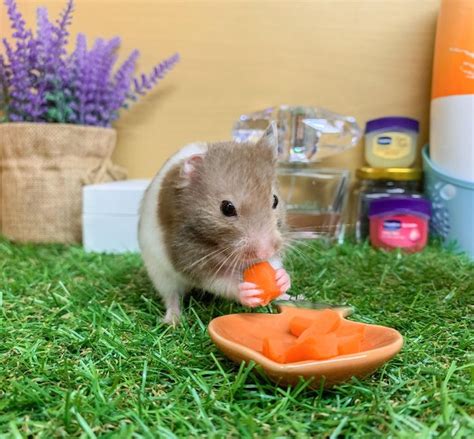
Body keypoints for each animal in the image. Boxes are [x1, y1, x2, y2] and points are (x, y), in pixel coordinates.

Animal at [137, 124, 290, 324]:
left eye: (275, 200)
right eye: (227, 208)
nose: (264, 252)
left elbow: (274, 263)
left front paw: (283, 279)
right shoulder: (189, 256)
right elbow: (217, 280)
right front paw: (246, 292)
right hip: (159, 273)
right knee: (171, 296)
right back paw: (173, 321)